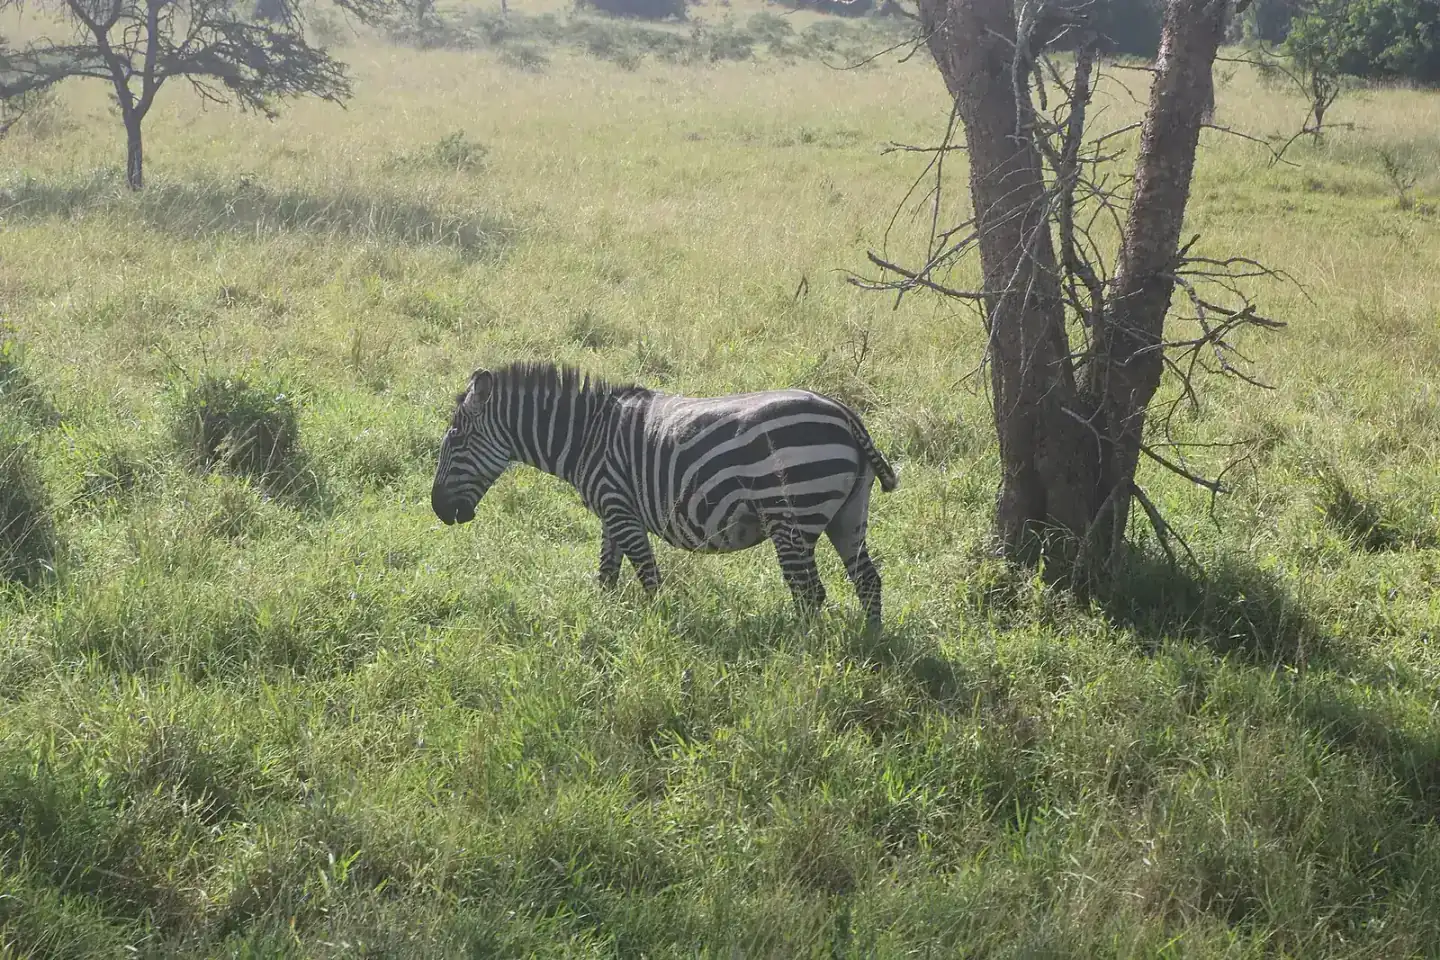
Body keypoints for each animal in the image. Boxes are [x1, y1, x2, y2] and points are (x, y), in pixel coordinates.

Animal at [430, 361, 899, 628]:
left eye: (455, 440)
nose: (439, 510)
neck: (587, 437)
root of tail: (844, 413)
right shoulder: (613, 512)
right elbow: (607, 574)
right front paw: (607, 620)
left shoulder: (621, 509)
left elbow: (648, 577)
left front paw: (658, 631)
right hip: (847, 516)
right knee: (867, 582)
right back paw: (870, 645)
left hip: (791, 518)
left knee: (809, 594)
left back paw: (798, 654)